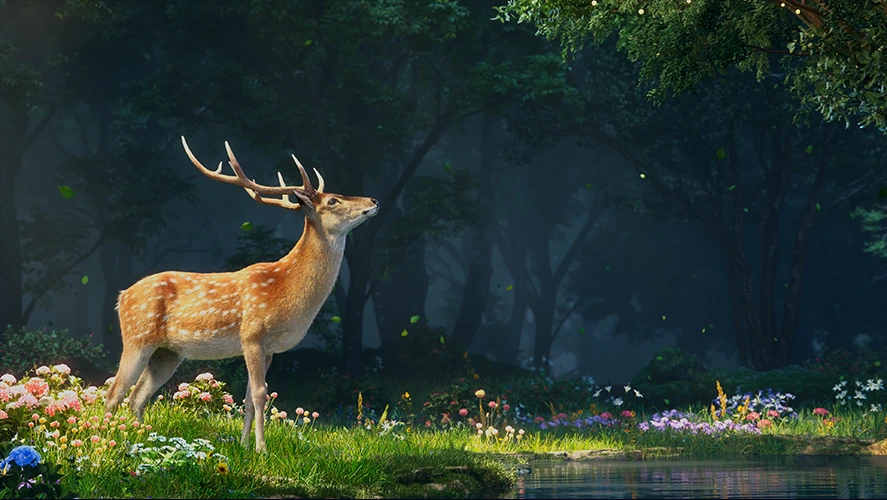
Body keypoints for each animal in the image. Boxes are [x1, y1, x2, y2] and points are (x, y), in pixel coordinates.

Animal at [103, 136, 378, 452]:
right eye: (333, 200)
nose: (373, 200)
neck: (285, 287)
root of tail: (121, 297)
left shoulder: (269, 348)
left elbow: (247, 398)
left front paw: (245, 446)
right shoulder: (253, 334)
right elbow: (260, 393)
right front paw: (262, 448)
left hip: (168, 352)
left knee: (138, 395)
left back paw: (140, 439)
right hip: (137, 335)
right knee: (114, 391)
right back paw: (107, 437)